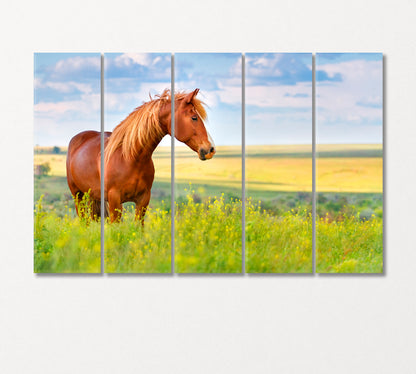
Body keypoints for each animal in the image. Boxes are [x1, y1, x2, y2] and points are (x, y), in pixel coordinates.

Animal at [66, 87, 216, 222]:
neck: (131, 158)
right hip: (78, 196)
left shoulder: (143, 199)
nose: (210, 149)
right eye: (194, 118)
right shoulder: (114, 200)